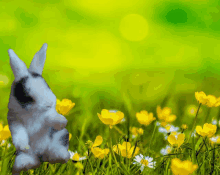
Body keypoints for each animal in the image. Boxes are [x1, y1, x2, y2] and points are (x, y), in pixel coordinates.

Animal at [7, 43, 70, 174]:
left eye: (47, 86)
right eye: (27, 95)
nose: (49, 103)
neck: (32, 113)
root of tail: (41, 156)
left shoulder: (46, 117)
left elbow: (51, 118)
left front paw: (62, 122)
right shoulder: (14, 120)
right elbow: (19, 134)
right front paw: (24, 146)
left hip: (60, 137)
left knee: (55, 152)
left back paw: (61, 156)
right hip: (24, 155)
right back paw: (26, 164)